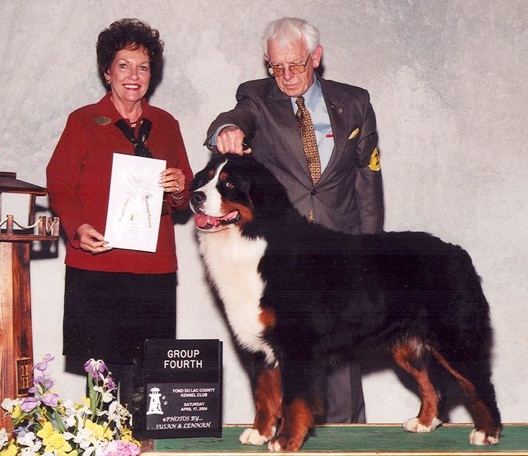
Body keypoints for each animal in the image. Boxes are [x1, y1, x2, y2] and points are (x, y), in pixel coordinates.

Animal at [189, 154, 500, 452]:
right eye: (205, 179)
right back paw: (424, 422)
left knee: (480, 384)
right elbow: (264, 395)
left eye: (229, 184)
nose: (195, 197)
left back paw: (487, 433)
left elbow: (294, 399)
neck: (253, 243)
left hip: (455, 338)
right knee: (430, 385)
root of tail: (458, 253)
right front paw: (260, 433)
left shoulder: (297, 343)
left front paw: (286, 440)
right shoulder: (258, 343)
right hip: (406, 346)